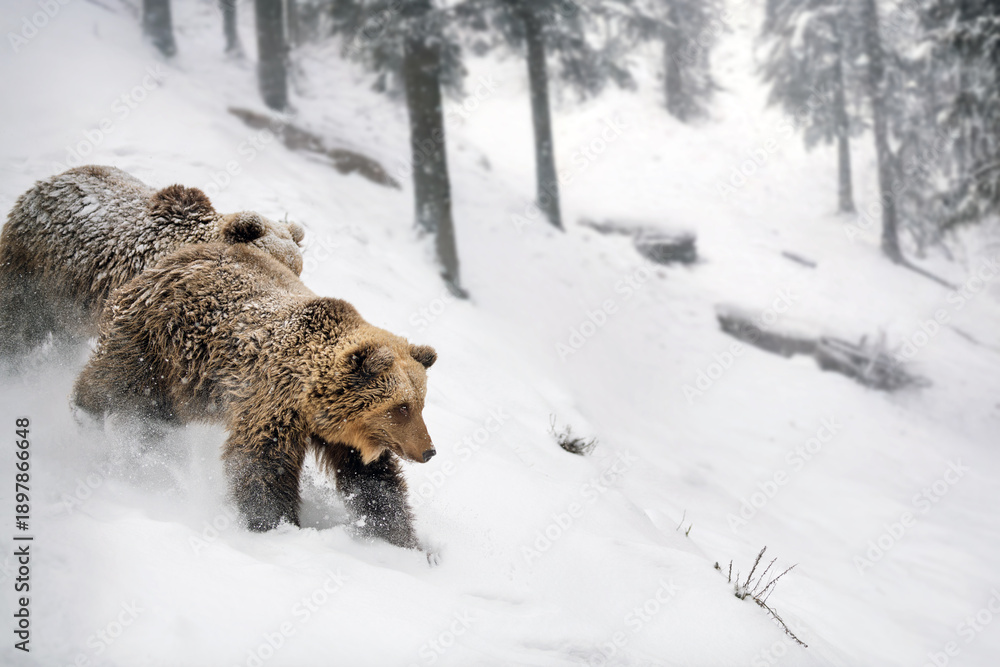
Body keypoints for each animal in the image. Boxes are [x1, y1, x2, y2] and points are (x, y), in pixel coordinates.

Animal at [71, 242, 438, 550]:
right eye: (401, 407)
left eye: (420, 404)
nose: (429, 450)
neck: (313, 402)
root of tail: (173, 258)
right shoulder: (275, 403)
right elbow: (262, 463)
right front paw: (274, 525)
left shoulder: (344, 438)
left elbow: (374, 481)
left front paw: (402, 539)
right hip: (158, 346)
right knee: (117, 384)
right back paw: (87, 418)